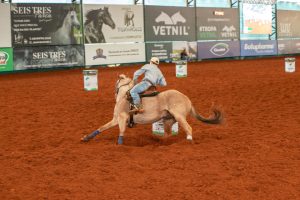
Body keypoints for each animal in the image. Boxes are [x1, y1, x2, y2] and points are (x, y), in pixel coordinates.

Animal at [81, 74, 224, 145]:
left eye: (116, 83)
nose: (114, 93)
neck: (124, 97)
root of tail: (187, 99)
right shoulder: (115, 119)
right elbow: (101, 128)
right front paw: (86, 138)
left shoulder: (121, 118)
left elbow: (121, 131)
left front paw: (120, 144)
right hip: (168, 120)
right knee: (167, 134)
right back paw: (161, 142)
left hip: (179, 117)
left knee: (188, 128)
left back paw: (188, 141)